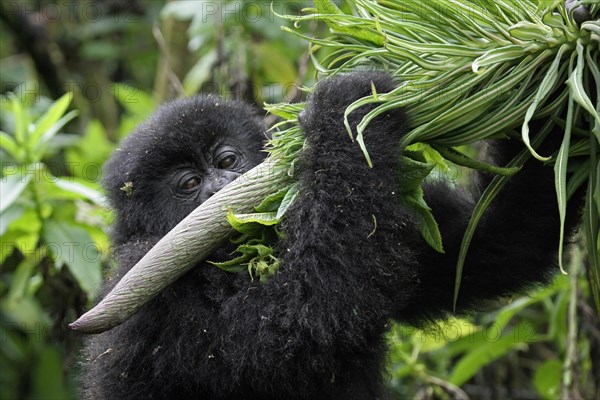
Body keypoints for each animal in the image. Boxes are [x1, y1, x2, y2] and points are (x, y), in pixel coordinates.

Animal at [81, 72, 580, 400]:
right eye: (188, 184)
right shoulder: (154, 290)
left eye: (226, 160)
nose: (221, 189)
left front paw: (556, 66)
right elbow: (300, 321)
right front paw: (344, 109)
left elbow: (492, 244)